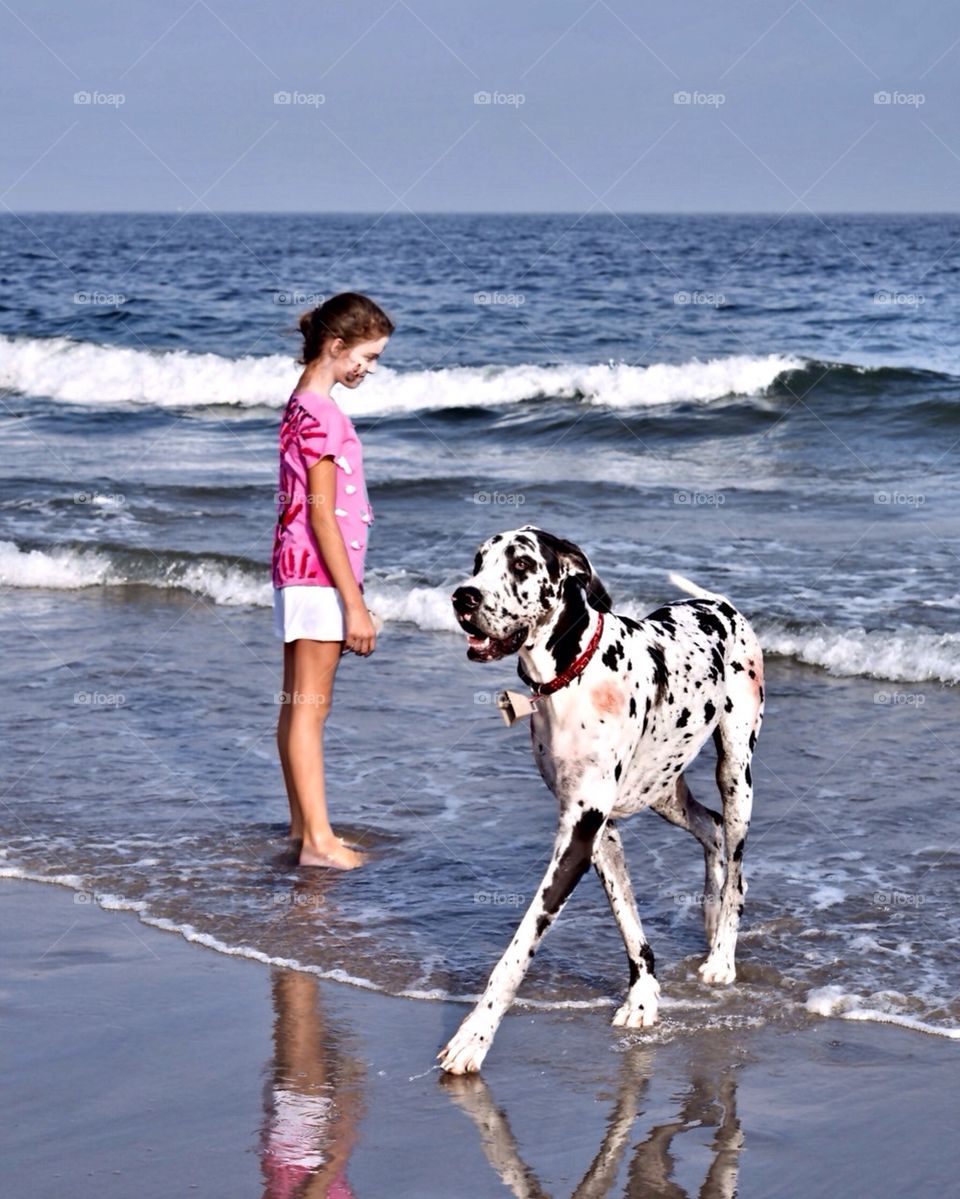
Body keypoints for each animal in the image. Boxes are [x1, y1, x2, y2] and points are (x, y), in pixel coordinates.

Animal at [441, 525, 762, 1079]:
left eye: (522, 564)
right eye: (478, 562)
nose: (465, 596)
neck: (570, 679)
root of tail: (720, 604)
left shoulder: (578, 834)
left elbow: (517, 952)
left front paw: (473, 1037)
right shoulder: (596, 830)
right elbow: (627, 919)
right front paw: (644, 997)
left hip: (735, 772)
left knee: (736, 859)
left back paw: (723, 953)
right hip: (663, 789)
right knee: (711, 827)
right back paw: (709, 910)